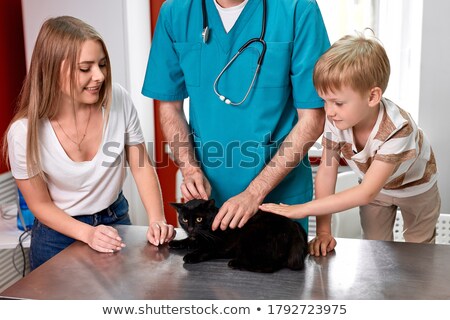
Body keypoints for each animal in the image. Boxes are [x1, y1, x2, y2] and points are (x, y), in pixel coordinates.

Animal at [169, 200, 310, 272]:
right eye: (184, 219)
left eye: (199, 219)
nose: (190, 228)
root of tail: (294, 229)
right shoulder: (198, 238)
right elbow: (190, 240)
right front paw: (175, 242)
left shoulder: (219, 244)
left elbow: (204, 249)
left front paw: (191, 256)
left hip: (250, 235)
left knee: (268, 266)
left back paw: (235, 263)